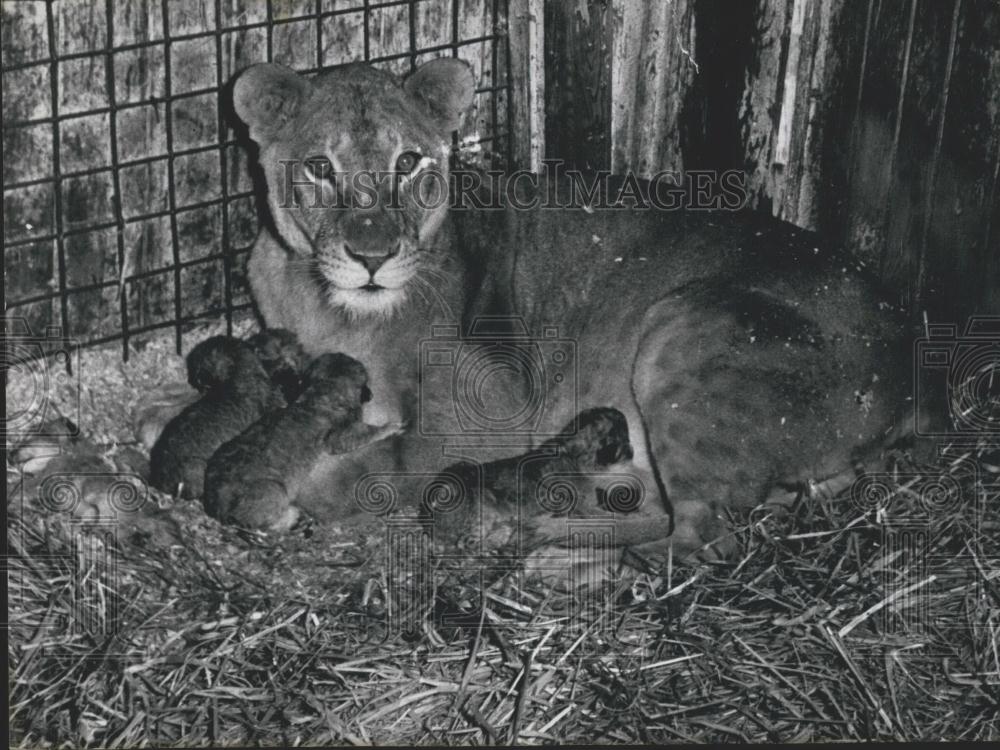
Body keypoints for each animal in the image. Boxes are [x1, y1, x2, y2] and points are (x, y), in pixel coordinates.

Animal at [229, 60, 916, 564]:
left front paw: (303, 483)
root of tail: (904, 367)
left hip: (685, 327)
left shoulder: (491, 419)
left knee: (697, 535)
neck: (329, 304)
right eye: (320, 167)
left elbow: (382, 466)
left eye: (408, 162)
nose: (371, 257)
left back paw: (553, 551)